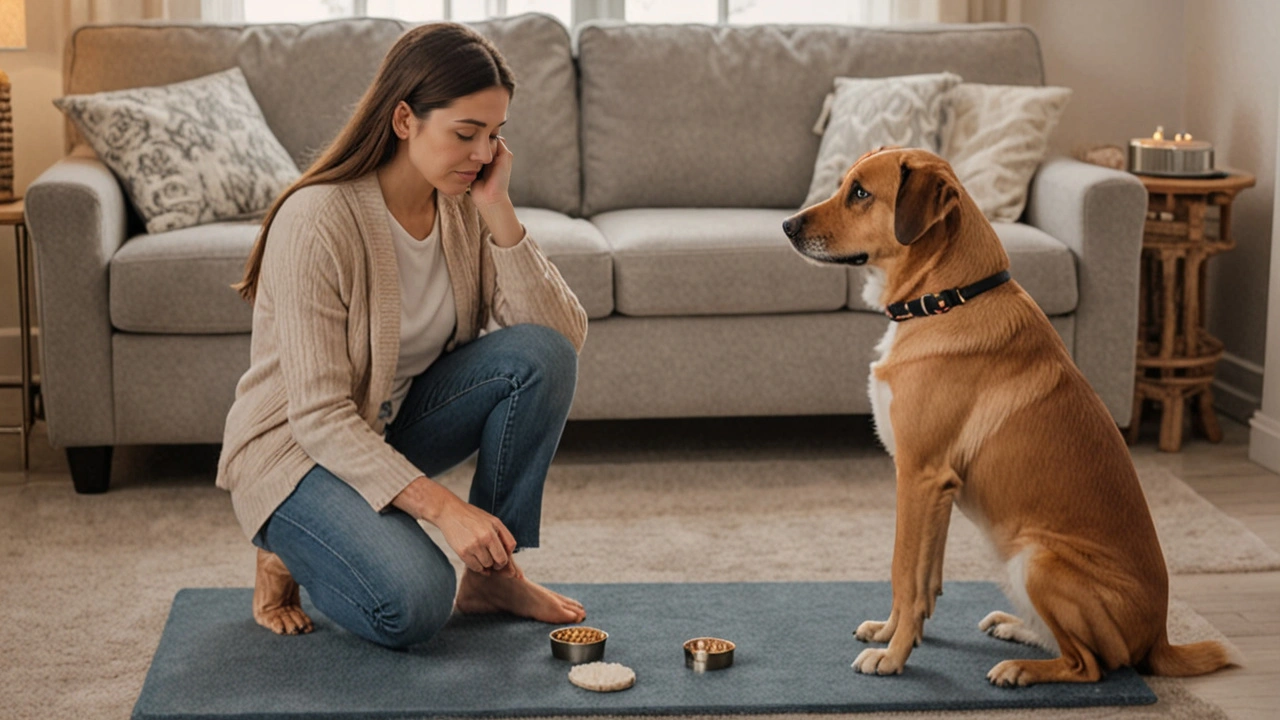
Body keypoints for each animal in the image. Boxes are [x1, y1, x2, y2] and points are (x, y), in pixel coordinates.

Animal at [778, 147, 1239, 681]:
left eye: (860, 193)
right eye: (842, 185)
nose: (787, 225)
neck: (945, 298)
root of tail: (1159, 637)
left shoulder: (919, 475)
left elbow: (902, 572)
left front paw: (893, 658)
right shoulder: (937, 488)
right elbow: (924, 579)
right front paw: (895, 634)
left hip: (1038, 560)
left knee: (1091, 665)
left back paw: (1021, 669)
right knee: (1072, 647)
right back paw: (1016, 628)